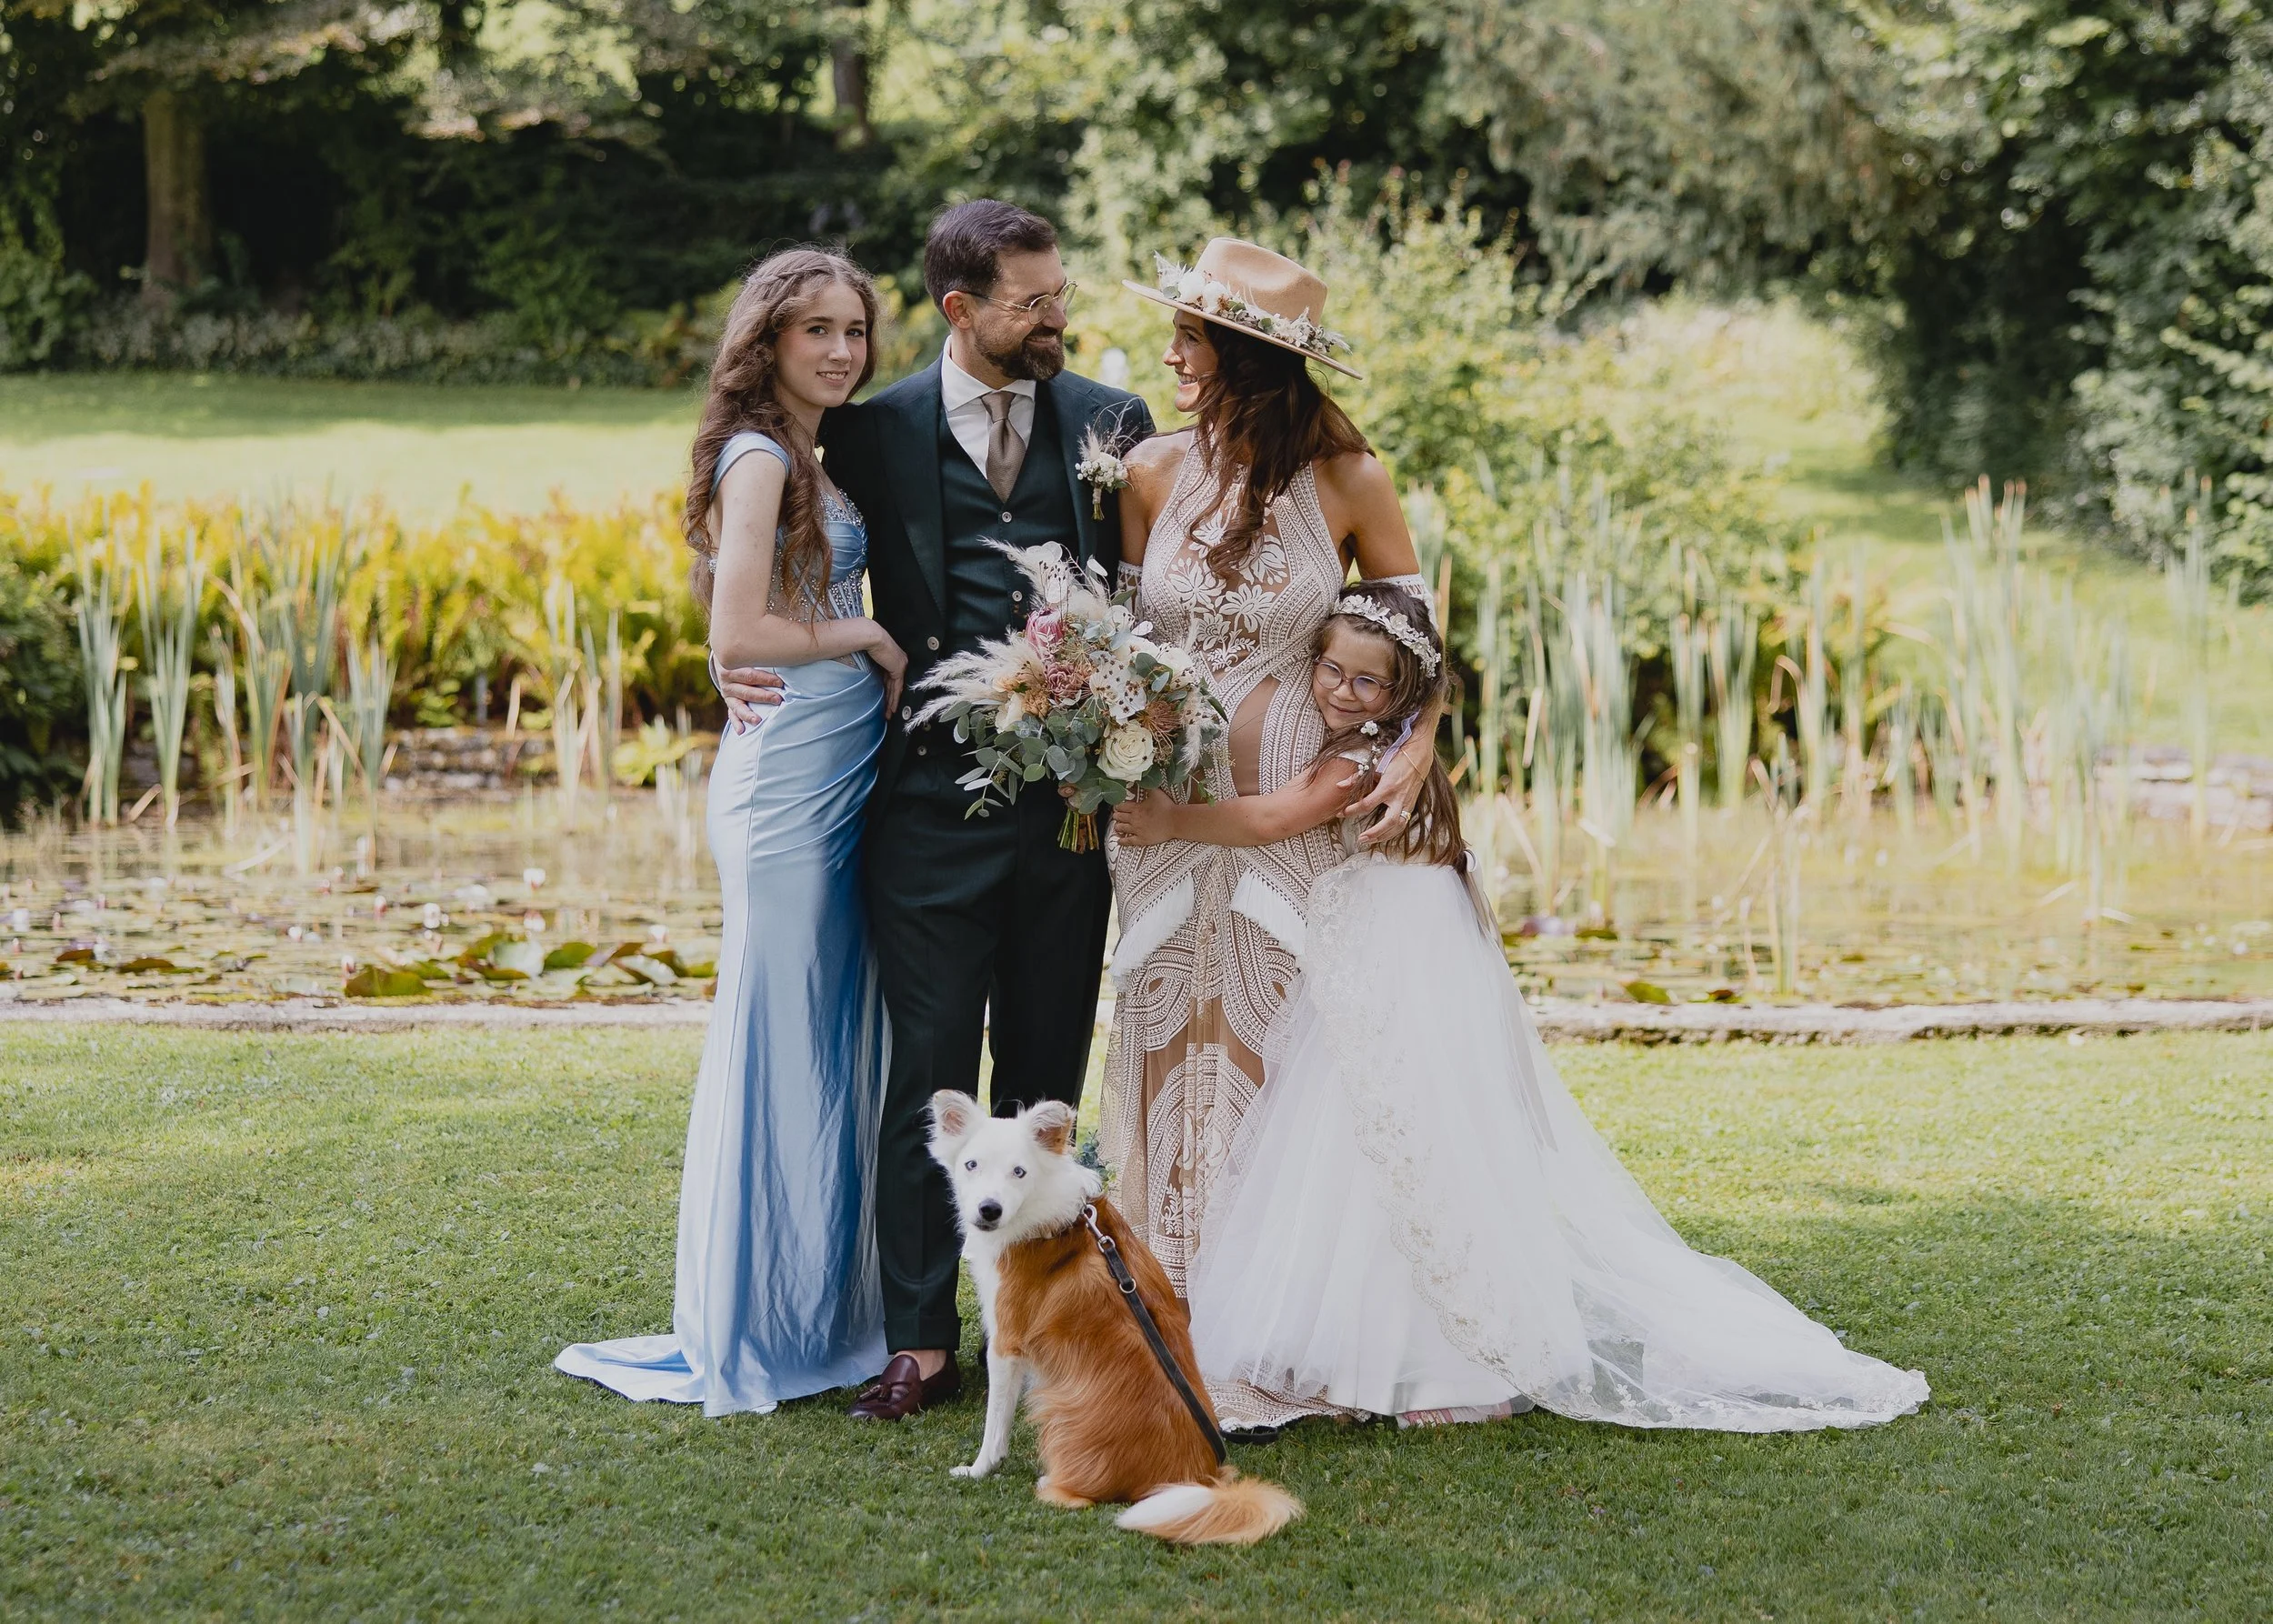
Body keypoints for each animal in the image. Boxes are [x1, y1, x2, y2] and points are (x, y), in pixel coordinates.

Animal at [927, 1091, 1301, 1545]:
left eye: (1019, 1171)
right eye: (971, 1165)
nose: (989, 1210)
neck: (1039, 1207)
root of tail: (1200, 1480)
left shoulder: (1005, 1341)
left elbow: (995, 1422)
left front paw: (979, 1468)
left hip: (1059, 1410)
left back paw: (1051, 1484)